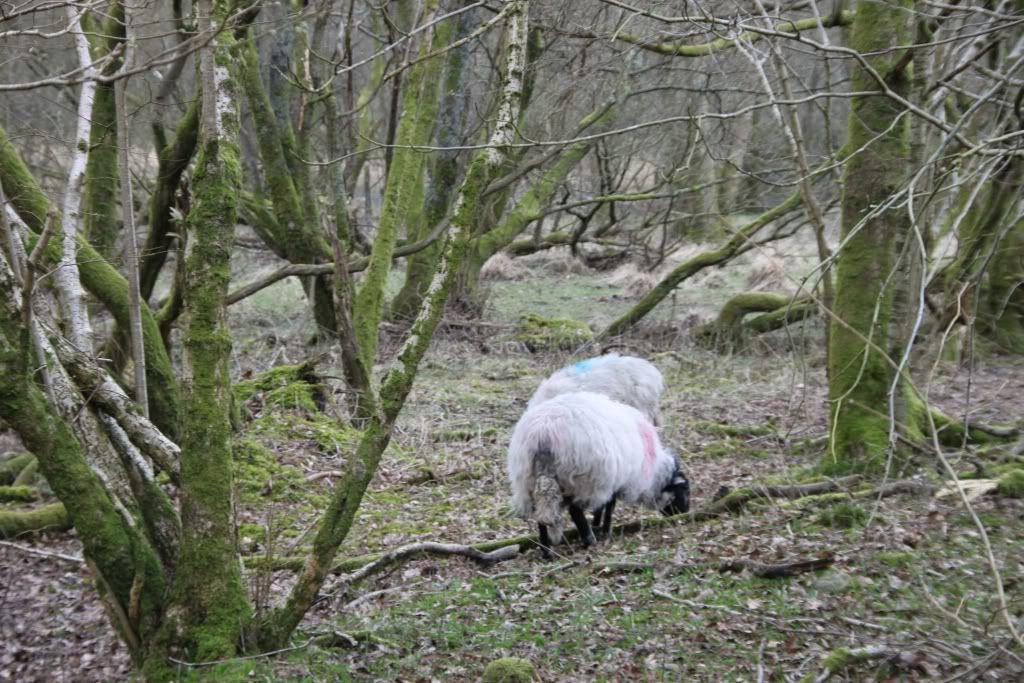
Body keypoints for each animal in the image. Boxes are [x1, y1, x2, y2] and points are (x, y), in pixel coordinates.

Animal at [507, 389, 692, 557]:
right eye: (685, 490)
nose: (685, 514)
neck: (651, 473)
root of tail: (543, 434)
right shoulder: (613, 481)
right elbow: (609, 506)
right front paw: (604, 530)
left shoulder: (606, 481)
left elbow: (601, 506)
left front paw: (597, 525)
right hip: (577, 478)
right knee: (575, 511)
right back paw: (589, 540)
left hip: (527, 480)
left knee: (540, 516)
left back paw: (547, 551)